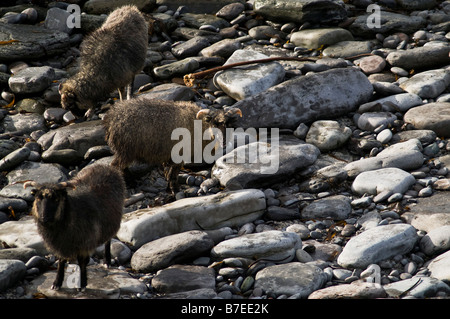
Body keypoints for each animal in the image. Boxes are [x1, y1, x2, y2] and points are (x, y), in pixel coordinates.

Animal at [103, 97, 243, 194]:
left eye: (228, 123)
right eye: (214, 123)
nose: (224, 141)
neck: (200, 126)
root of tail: (111, 118)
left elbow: (168, 172)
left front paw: (169, 188)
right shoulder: (179, 154)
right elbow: (173, 173)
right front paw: (175, 189)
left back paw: (132, 182)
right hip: (126, 150)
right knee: (116, 166)